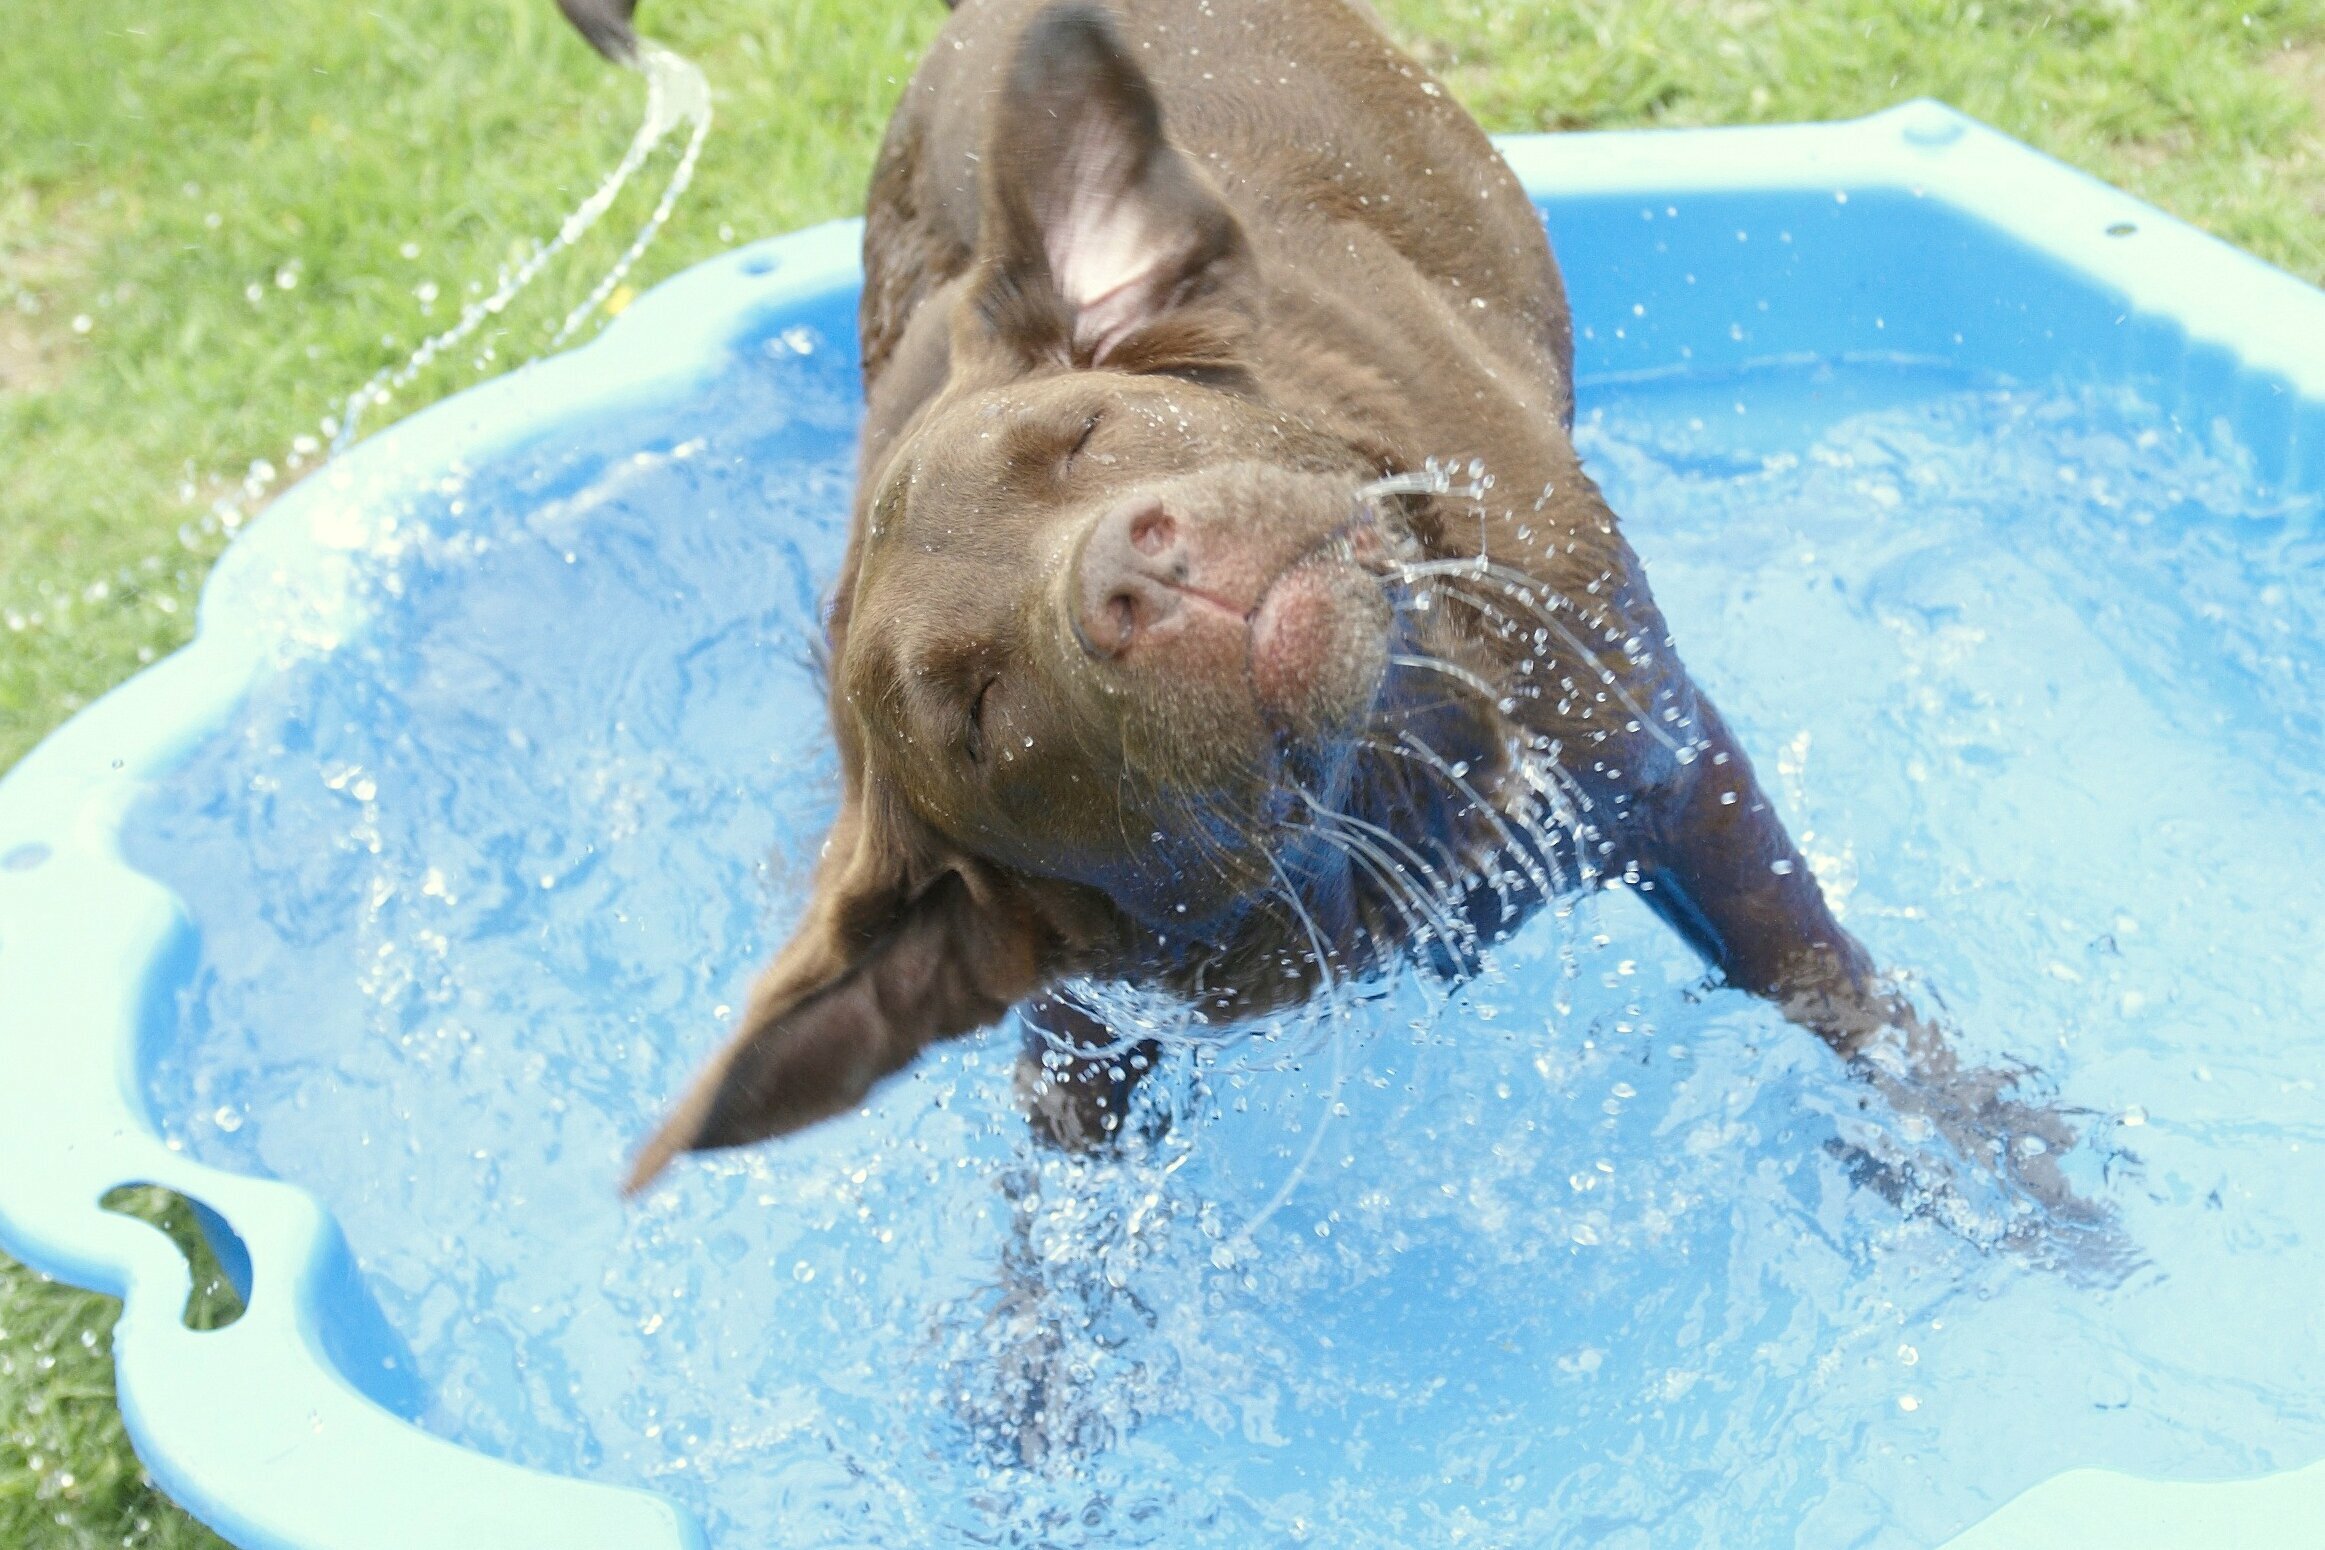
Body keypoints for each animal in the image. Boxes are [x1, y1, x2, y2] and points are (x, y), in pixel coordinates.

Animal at [576, 0, 1999, 1199]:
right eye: (976, 711)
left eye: (1082, 437)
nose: (1133, 572)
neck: (1393, 783)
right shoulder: (1087, 1020)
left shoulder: (1668, 761)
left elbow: (1819, 982)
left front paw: (1990, 1157)